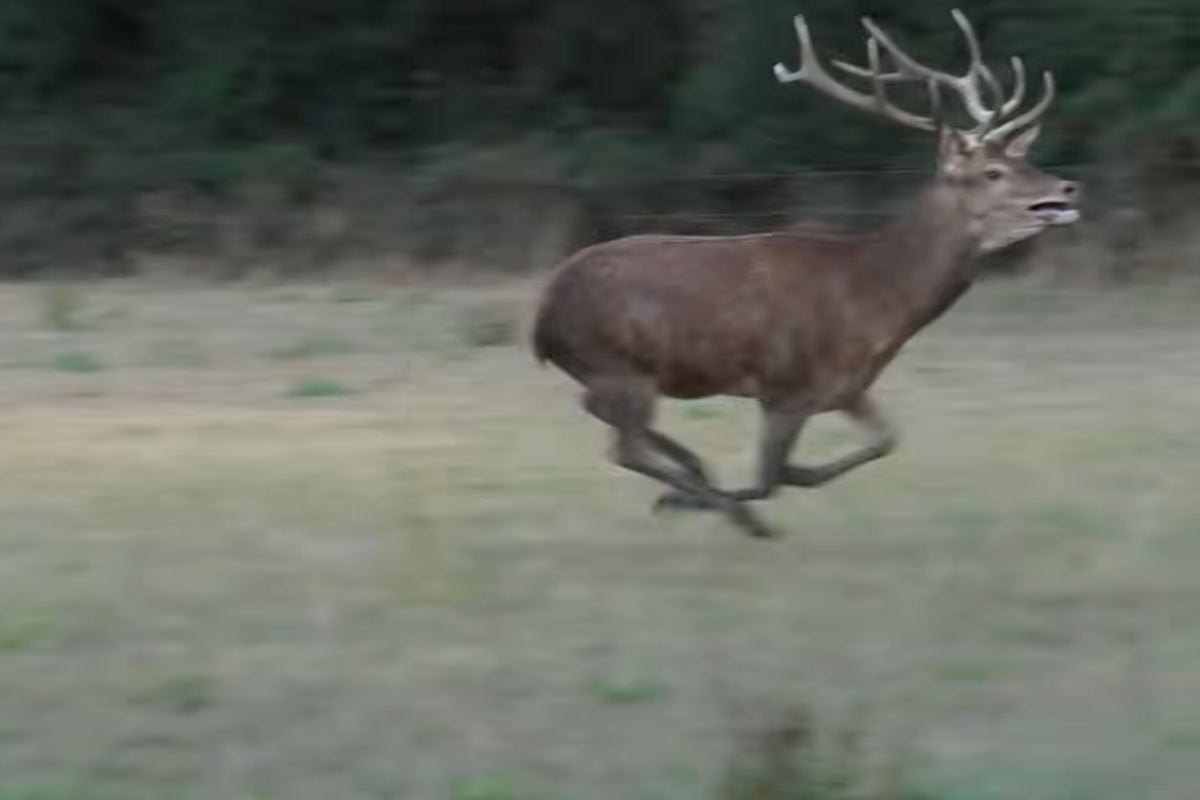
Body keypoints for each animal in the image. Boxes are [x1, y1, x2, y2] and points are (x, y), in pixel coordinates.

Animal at [530, 9, 1081, 539]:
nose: (1067, 187)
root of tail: (543, 315)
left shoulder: (847, 387)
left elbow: (880, 442)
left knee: (599, 412)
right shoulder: (784, 387)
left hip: (613, 372)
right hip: (621, 364)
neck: (877, 300)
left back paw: (699, 479)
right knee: (622, 445)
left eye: (1025, 158)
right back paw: (720, 505)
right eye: (993, 172)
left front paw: (715, 496)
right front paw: (715, 504)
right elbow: (770, 477)